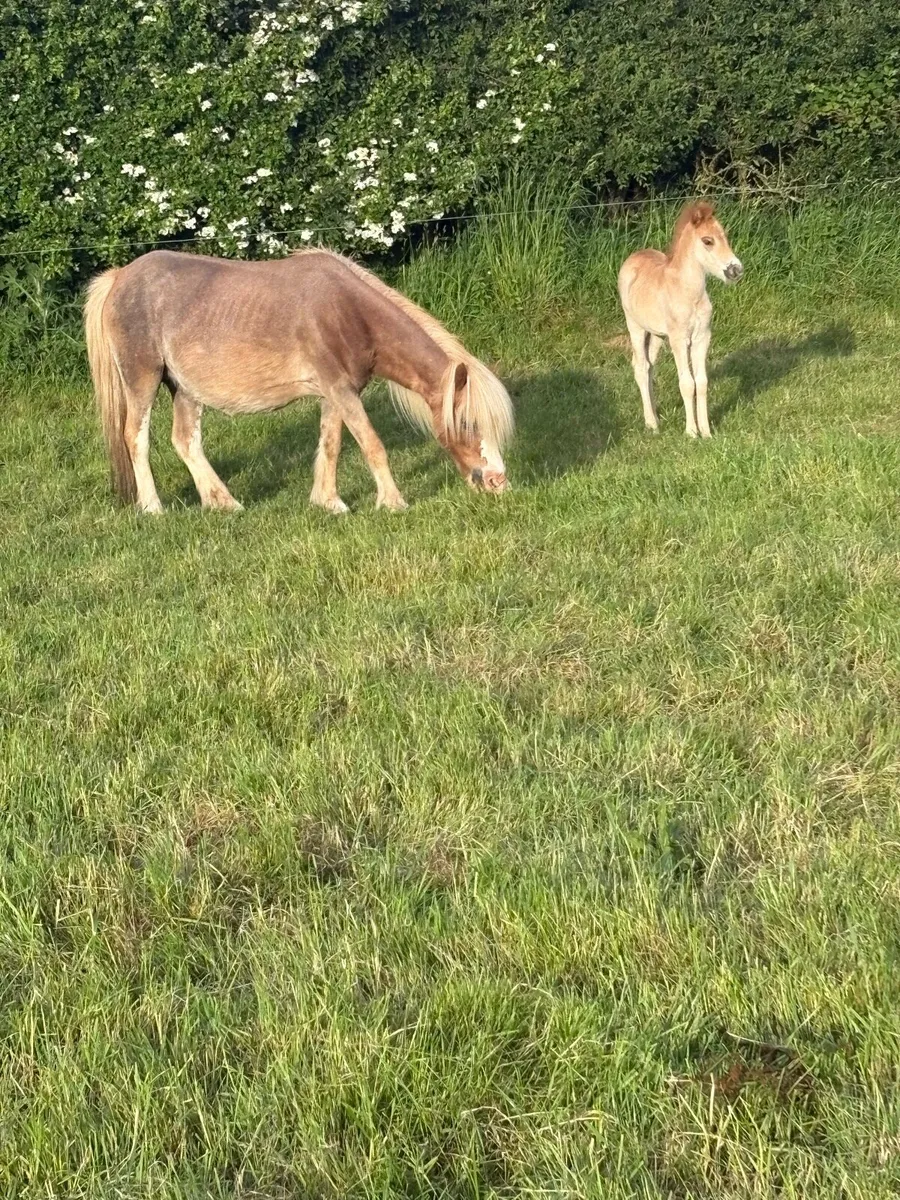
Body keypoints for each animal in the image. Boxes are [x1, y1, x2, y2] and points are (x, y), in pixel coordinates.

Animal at [84, 248, 514, 514]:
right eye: (468, 423)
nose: (498, 482)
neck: (349, 312)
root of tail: (119, 277)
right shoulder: (341, 391)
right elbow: (372, 445)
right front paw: (393, 503)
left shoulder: (336, 393)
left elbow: (331, 444)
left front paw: (329, 502)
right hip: (143, 378)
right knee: (135, 437)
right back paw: (153, 508)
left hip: (185, 389)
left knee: (186, 441)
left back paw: (223, 503)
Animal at [617, 200, 743, 439]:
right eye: (707, 241)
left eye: (725, 236)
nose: (736, 270)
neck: (688, 293)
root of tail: (633, 257)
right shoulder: (678, 340)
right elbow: (687, 383)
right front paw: (692, 432)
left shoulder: (702, 337)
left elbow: (701, 382)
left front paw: (707, 432)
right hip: (635, 325)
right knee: (640, 367)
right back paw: (652, 424)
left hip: (657, 334)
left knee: (649, 366)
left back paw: (656, 416)